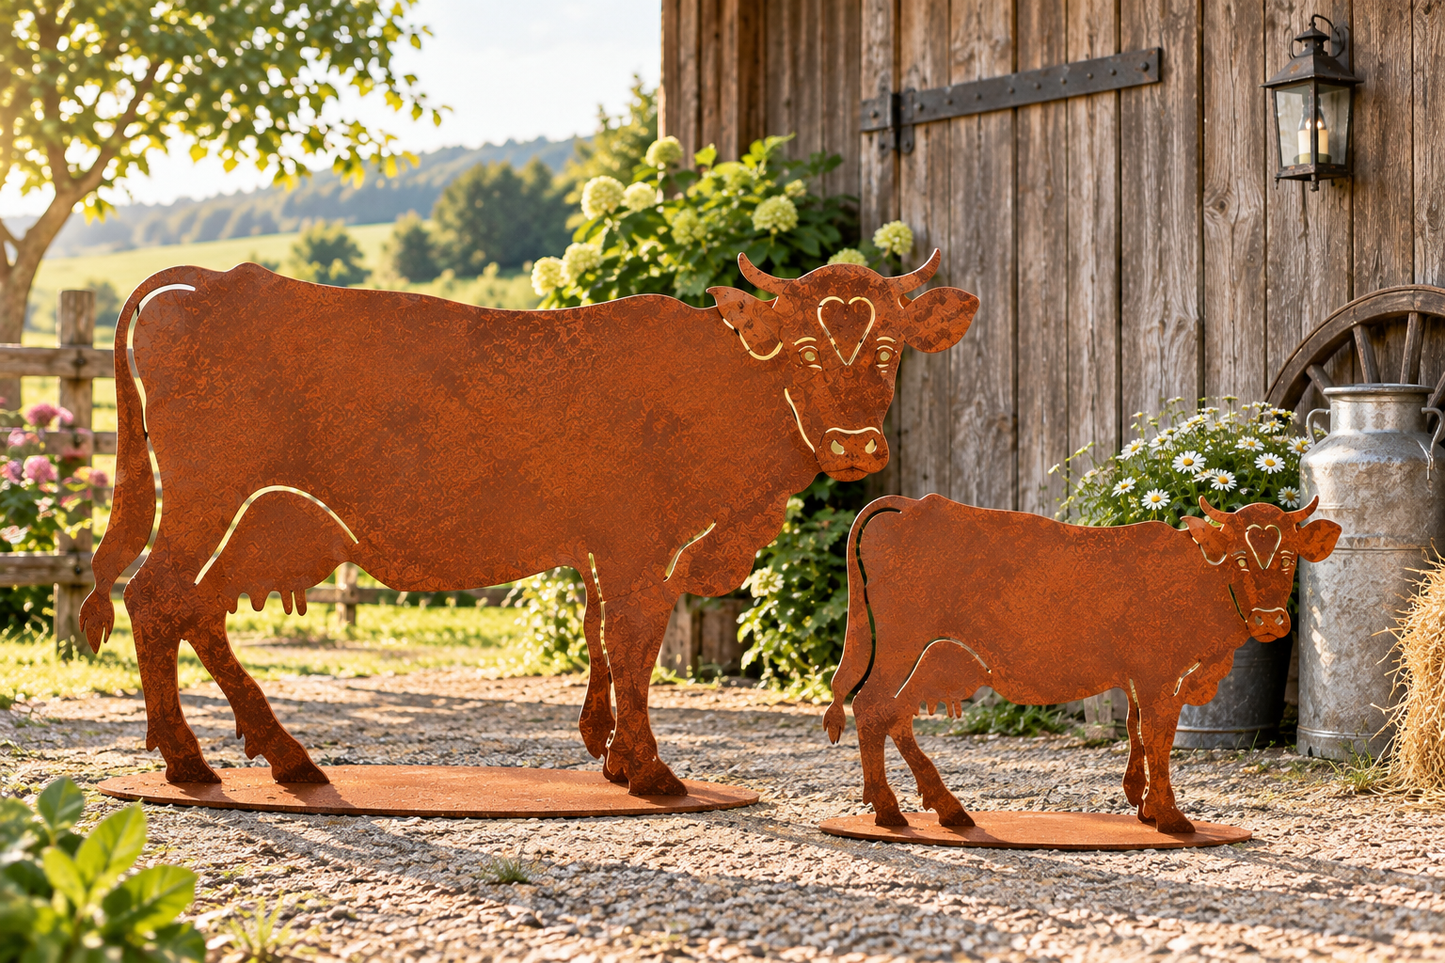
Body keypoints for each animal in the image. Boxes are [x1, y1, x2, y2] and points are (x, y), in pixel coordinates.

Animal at [79, 254, 979, 796]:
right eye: (805, 349)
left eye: (891, 347)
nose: (855, 446)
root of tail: (206, 279)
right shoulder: (638, 542)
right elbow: (633, 640)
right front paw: (649, 769)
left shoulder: (611, 548)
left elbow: (602, 637)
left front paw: (609, 750)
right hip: (205, 496)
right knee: (156, 597)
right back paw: (190, 760)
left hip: (255, 515)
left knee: (196, 608)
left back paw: (282, 754)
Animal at [824, 493, 1341, 833]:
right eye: (1238, 558)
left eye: (1290, 557)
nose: (1271, 621)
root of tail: (912, 503)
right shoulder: (1158, 672)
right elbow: (1158, 734)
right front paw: (1171, 817)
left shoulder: (1141, 675)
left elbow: (1136, 729)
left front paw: (1143, 805)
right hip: (901, 643)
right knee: (872, 708)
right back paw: (890, 811)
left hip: (926, 655)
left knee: (896, 715)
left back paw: (942, 808)